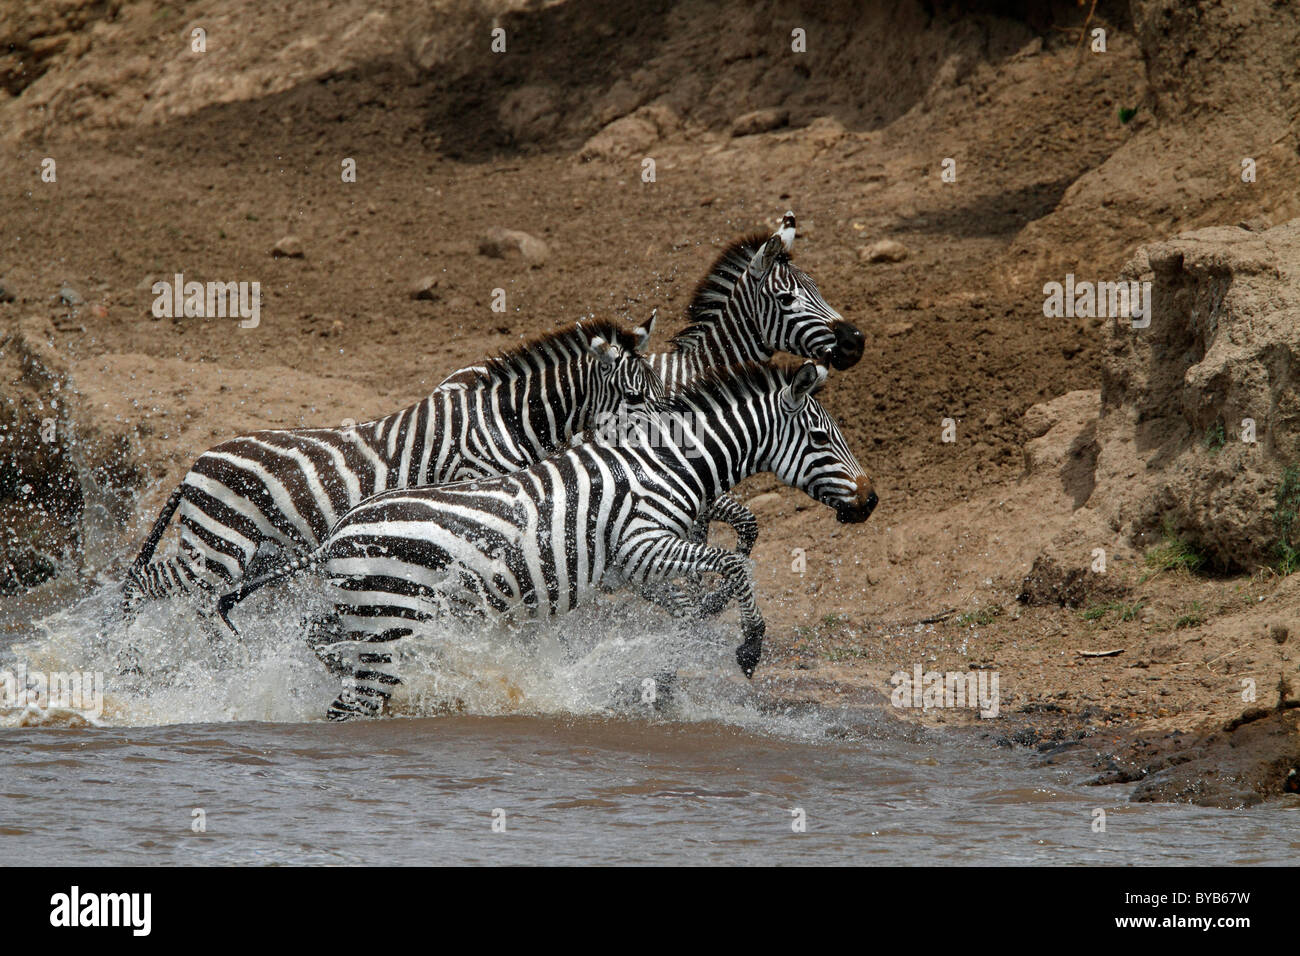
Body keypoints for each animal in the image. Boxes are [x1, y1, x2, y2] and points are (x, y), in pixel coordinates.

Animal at [122, 317, 660, 608]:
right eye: (636, 397)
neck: (506, 419)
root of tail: (193, 466)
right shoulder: (474, 486)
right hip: (218, 546)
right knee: (145, 582)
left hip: (249, 549)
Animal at [218, 361, 878, 723]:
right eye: (822, 438)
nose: (871, 501)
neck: (667, 465)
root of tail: (336, 535)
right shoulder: (644, 545)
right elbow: (733, 567)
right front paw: (747, 647)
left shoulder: (630, 567)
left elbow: (700, 593)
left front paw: (681, 652)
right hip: (390, 618)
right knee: (354, 701)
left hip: (358, 611)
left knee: (321, 642)